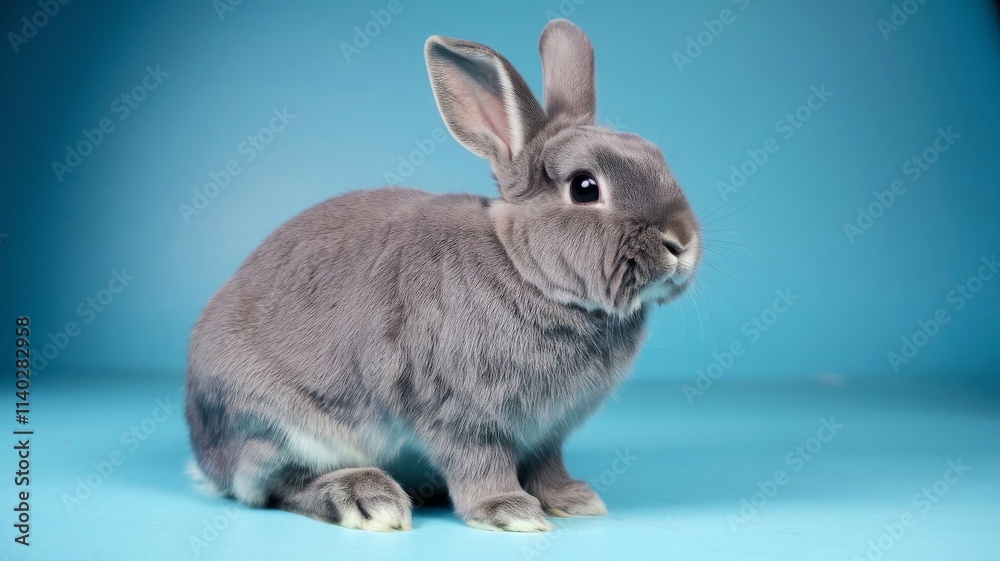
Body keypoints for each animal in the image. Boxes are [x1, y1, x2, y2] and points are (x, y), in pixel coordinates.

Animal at [185, 18, 700, 533]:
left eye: (658, 158)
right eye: (585, 187)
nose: (682, 242)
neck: (524, 270)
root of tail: (206, 456)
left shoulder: (546, 432)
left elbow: (547, 465)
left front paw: (573, 500)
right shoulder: (464, 415)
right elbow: (480, 464)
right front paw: (509, 512)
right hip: (281, 428)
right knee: (274, 487)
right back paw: (366, 498)